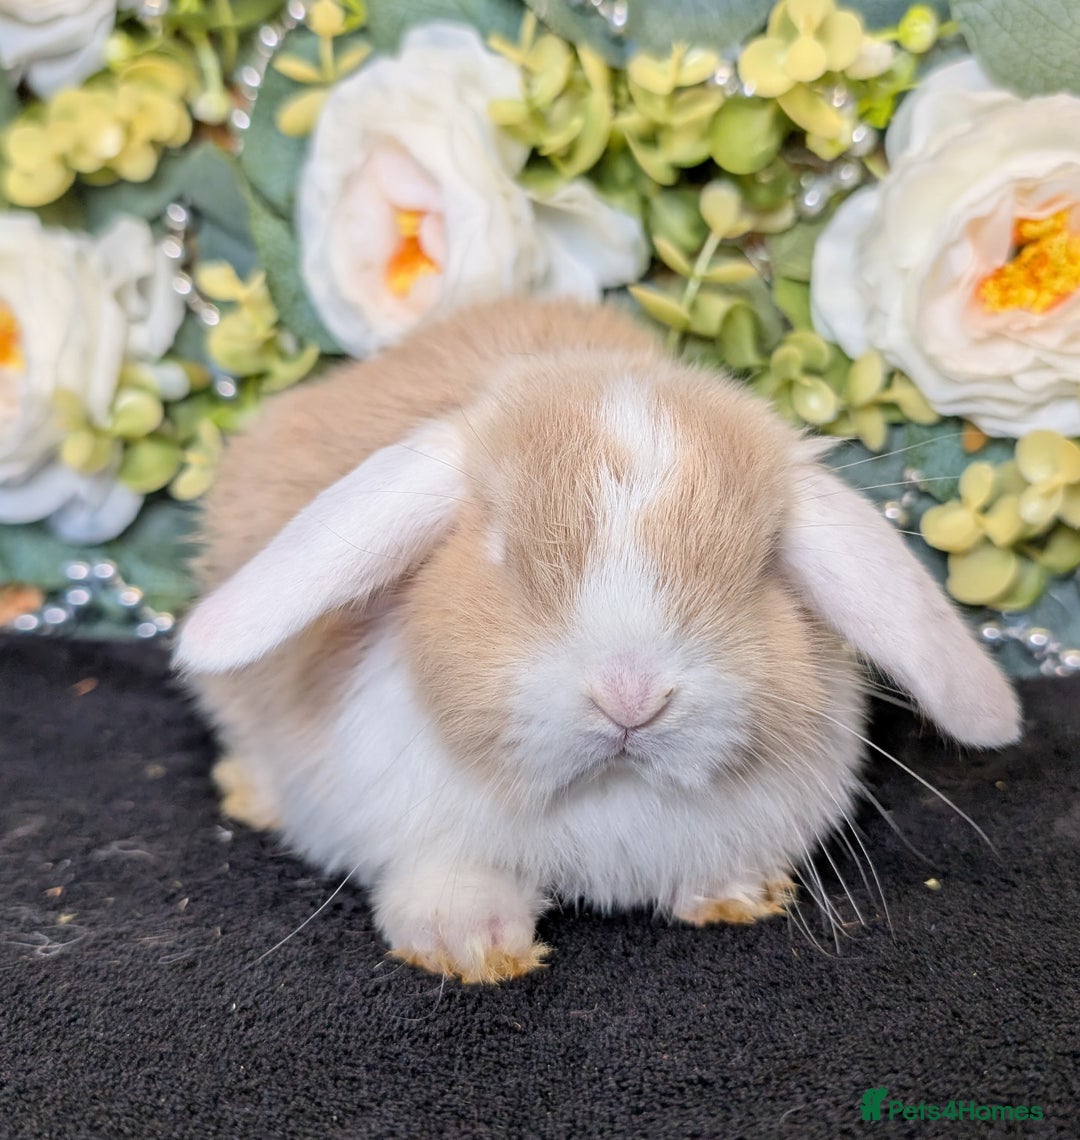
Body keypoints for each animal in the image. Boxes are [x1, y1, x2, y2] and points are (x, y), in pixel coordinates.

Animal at [175, 297, 1021, 983]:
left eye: (760, 567)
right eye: (502, 551)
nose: (631, 697)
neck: (607, 794)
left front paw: (738, 894)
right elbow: (444, 876)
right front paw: (472, 945)